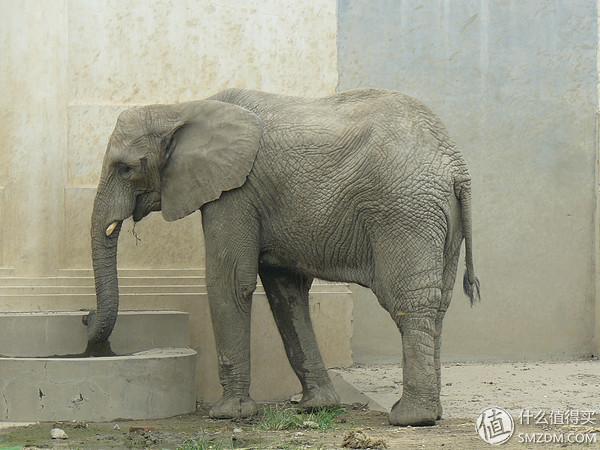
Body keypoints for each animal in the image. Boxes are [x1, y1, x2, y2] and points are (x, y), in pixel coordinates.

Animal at [88, 87, 478, 426]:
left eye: (125, 168)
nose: (88, 323)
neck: (182, 108)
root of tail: (456, 167)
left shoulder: (236, 192)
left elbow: (230, 282)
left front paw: (228, 414)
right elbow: (284, 291)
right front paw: (316, 407)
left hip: (404, 212)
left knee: (408, 302)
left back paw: (411, 418)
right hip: (441, 218)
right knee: (438, 304)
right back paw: (431, 412)